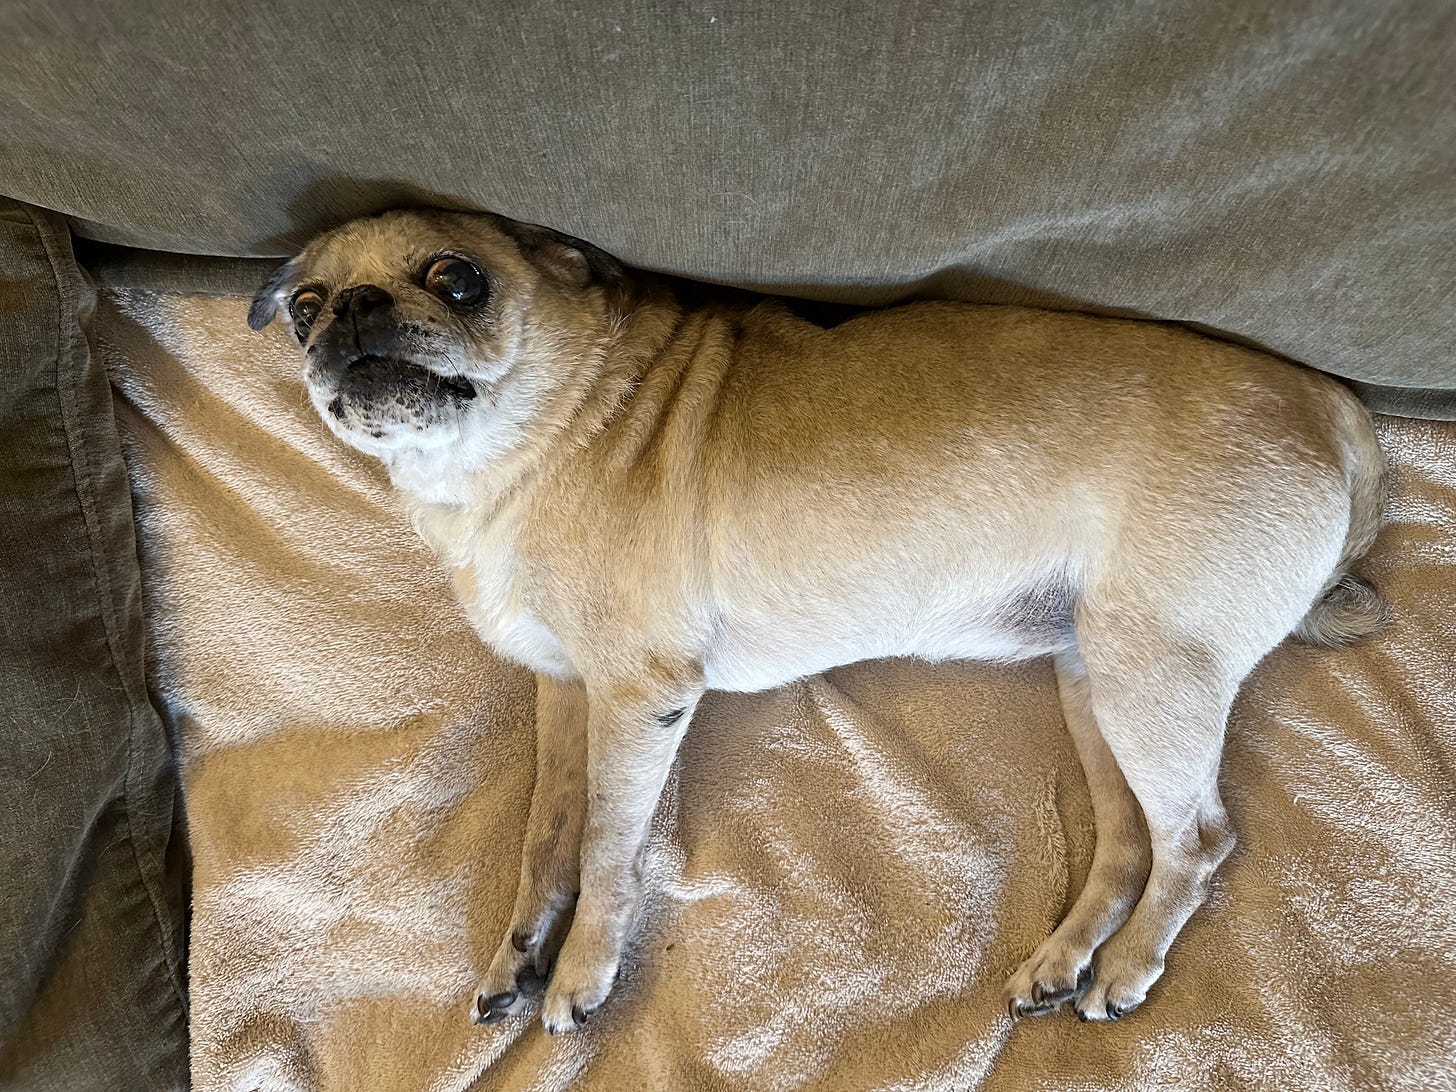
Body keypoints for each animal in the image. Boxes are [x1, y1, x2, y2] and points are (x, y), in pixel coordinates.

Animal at [247, 209, 1386, 1036]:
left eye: (457, 280)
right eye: (303, 307)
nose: (347, 311)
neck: (536, 437)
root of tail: (1338, 414)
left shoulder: (637, 701)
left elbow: (608, 845)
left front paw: (578, 973)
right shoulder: (566, 695)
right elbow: (546, 837)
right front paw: (520, 952)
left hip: (1151, 675)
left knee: (1195, 839)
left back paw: (1130, 970)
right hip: (1095, 682)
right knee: (1126, 845)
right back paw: (1067, 960)